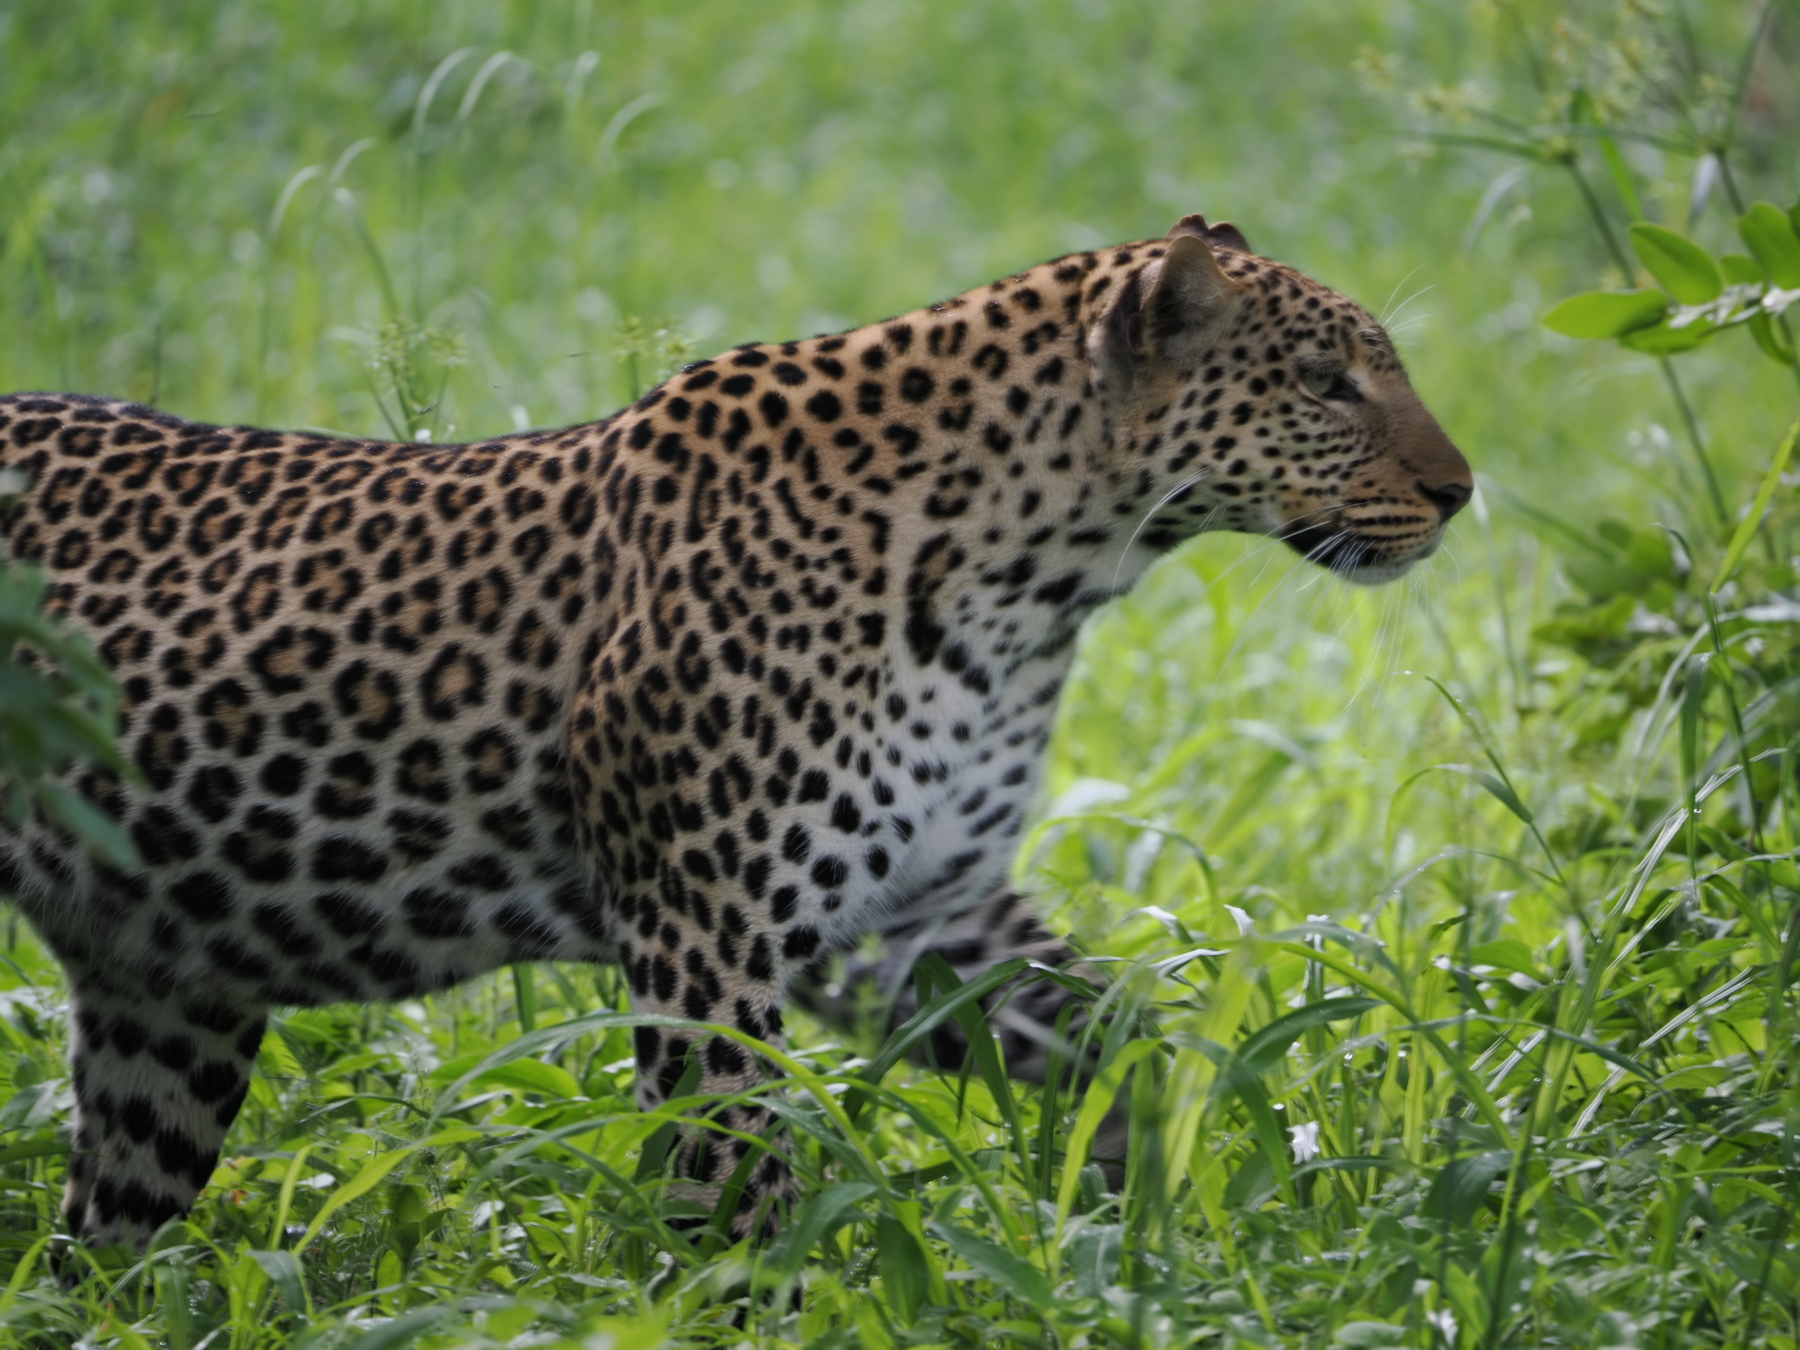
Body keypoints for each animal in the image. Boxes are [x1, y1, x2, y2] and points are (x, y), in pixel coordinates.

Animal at [0, 213, 1471, 1250]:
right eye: (1328, 384)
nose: (1465, 492)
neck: (1037, 579)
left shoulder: (924, 912)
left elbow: (1122, 1044)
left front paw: (1164, 1205)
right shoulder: (704, 935)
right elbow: (740, 1188)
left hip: (169, 1005)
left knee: (102, 1246)